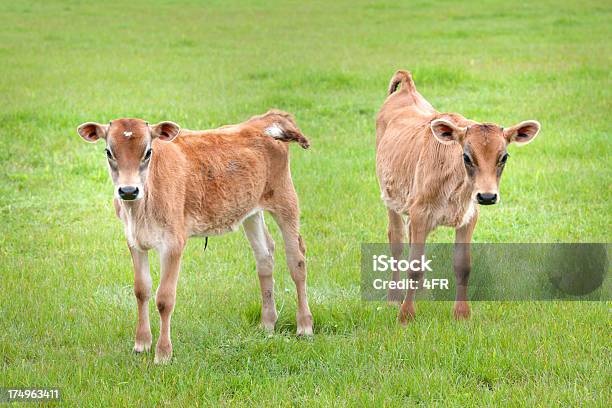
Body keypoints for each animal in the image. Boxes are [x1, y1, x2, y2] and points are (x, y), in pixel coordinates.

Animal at [77, 109, 314, 364]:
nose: (128, 190)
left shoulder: (173, 243)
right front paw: (141, 343)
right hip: (250, 211)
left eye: (148, 151)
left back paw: (304, 326)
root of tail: (264, 119)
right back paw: (268, 323)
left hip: (285, 199)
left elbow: (164, 299)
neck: (139, 210)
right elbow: (141, 290)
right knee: (265, 256)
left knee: (296, 261)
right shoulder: (134, 240)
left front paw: (163, 353)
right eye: (109, 151)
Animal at [378, 71, 540, 326]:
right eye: (466, 156)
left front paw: (462, 313)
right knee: (397, 241)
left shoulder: (469, 215)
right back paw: (394, 297)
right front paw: (406, 315)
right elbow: (413, 265)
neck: (457, 190)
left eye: (504, 157)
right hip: (391, 199)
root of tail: (407, 88)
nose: (487, 196)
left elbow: (463, 265)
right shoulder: (420, 212)